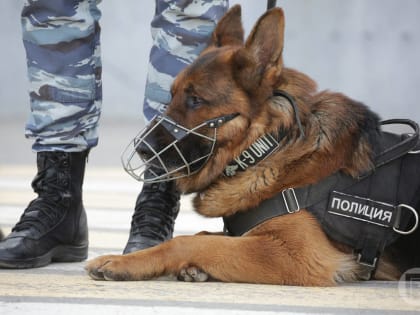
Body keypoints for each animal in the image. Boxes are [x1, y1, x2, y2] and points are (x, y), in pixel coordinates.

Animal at [85, 4, 420, 286]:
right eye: (172, 95)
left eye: (196, 100)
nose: (141, 148)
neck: (265, 148)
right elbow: (207, 235)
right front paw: (194, 266)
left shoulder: (299, 255)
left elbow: (189, 240)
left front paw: (123, 262)